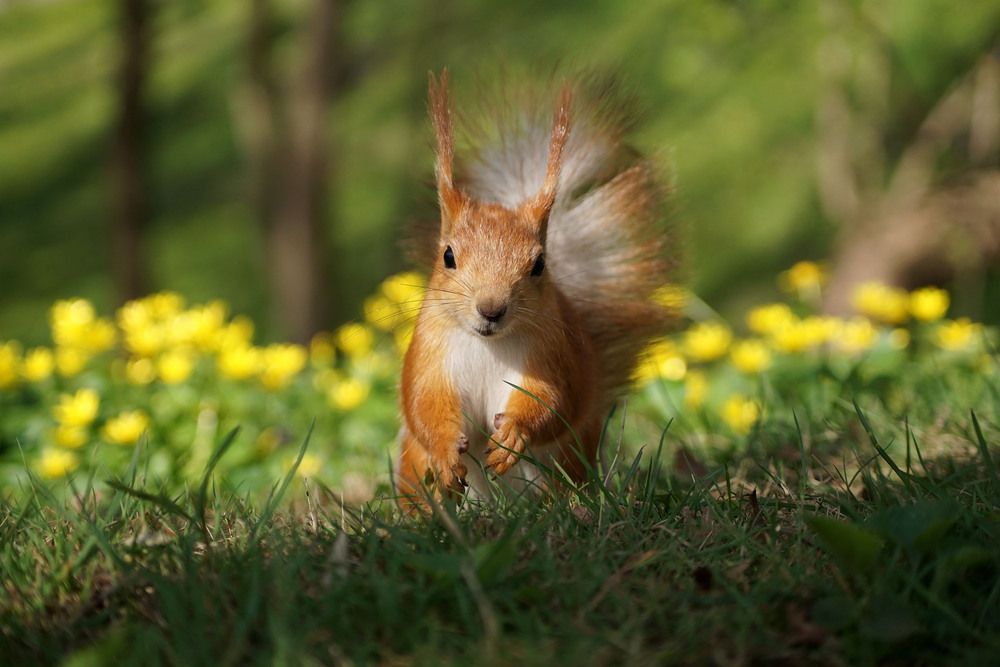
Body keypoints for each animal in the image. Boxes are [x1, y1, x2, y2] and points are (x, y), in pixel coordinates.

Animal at [395, 71, 673, 508]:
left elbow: (551, 401)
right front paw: (445, 450)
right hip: (412, 464)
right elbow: (425, 404)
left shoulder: (551, 356)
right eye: (448, 256)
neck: (489, 344)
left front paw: (512, 435)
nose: (491, 309)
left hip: (563, 462)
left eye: (540, 264)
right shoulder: (430, 356)